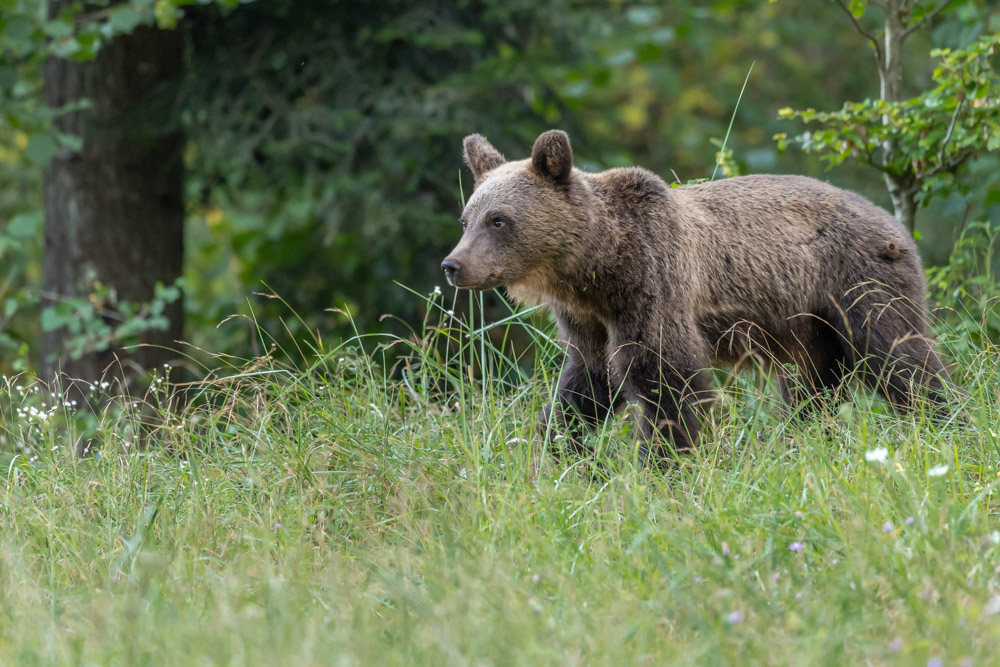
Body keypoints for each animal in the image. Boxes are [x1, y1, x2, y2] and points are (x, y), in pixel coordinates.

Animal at [442, 130, 948, 460]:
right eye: (466, 219)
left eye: (499, 220)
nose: (453, 265)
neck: (598, 267)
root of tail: (894, 222)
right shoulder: (588, 320)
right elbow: (587, 381)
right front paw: (556, 449)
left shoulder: (654, 286)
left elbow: (666, 380)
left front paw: (663, 465)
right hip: (809, 320)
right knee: (811, 385)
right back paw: (798, 439)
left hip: (855, 282)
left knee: (899, 357)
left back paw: (945, 421)